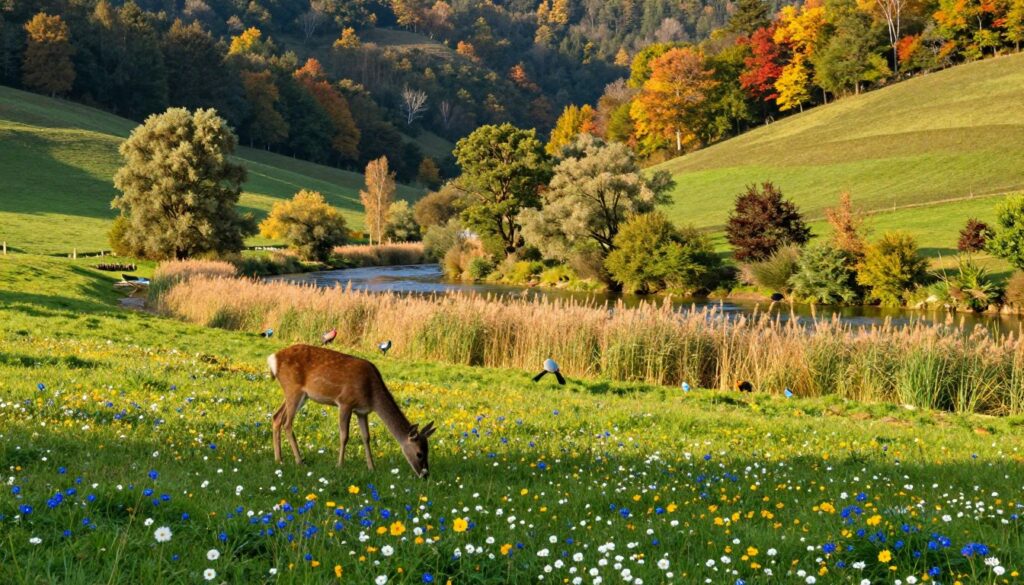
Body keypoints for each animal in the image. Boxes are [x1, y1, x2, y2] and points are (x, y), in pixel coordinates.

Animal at [267, 344, 436, 478]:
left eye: (428, 451)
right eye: (419, 453)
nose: (425, 475)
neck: (372, 394)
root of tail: (273, 359)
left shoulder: (362, 412)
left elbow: (366, 437)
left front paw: (371, 467)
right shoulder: (345, 402)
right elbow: (344, 436)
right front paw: (340, 465)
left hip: (299, 395)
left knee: (276, 417)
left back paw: (279, 459)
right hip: (293, 388)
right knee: (287, 423)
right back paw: (299, 461)